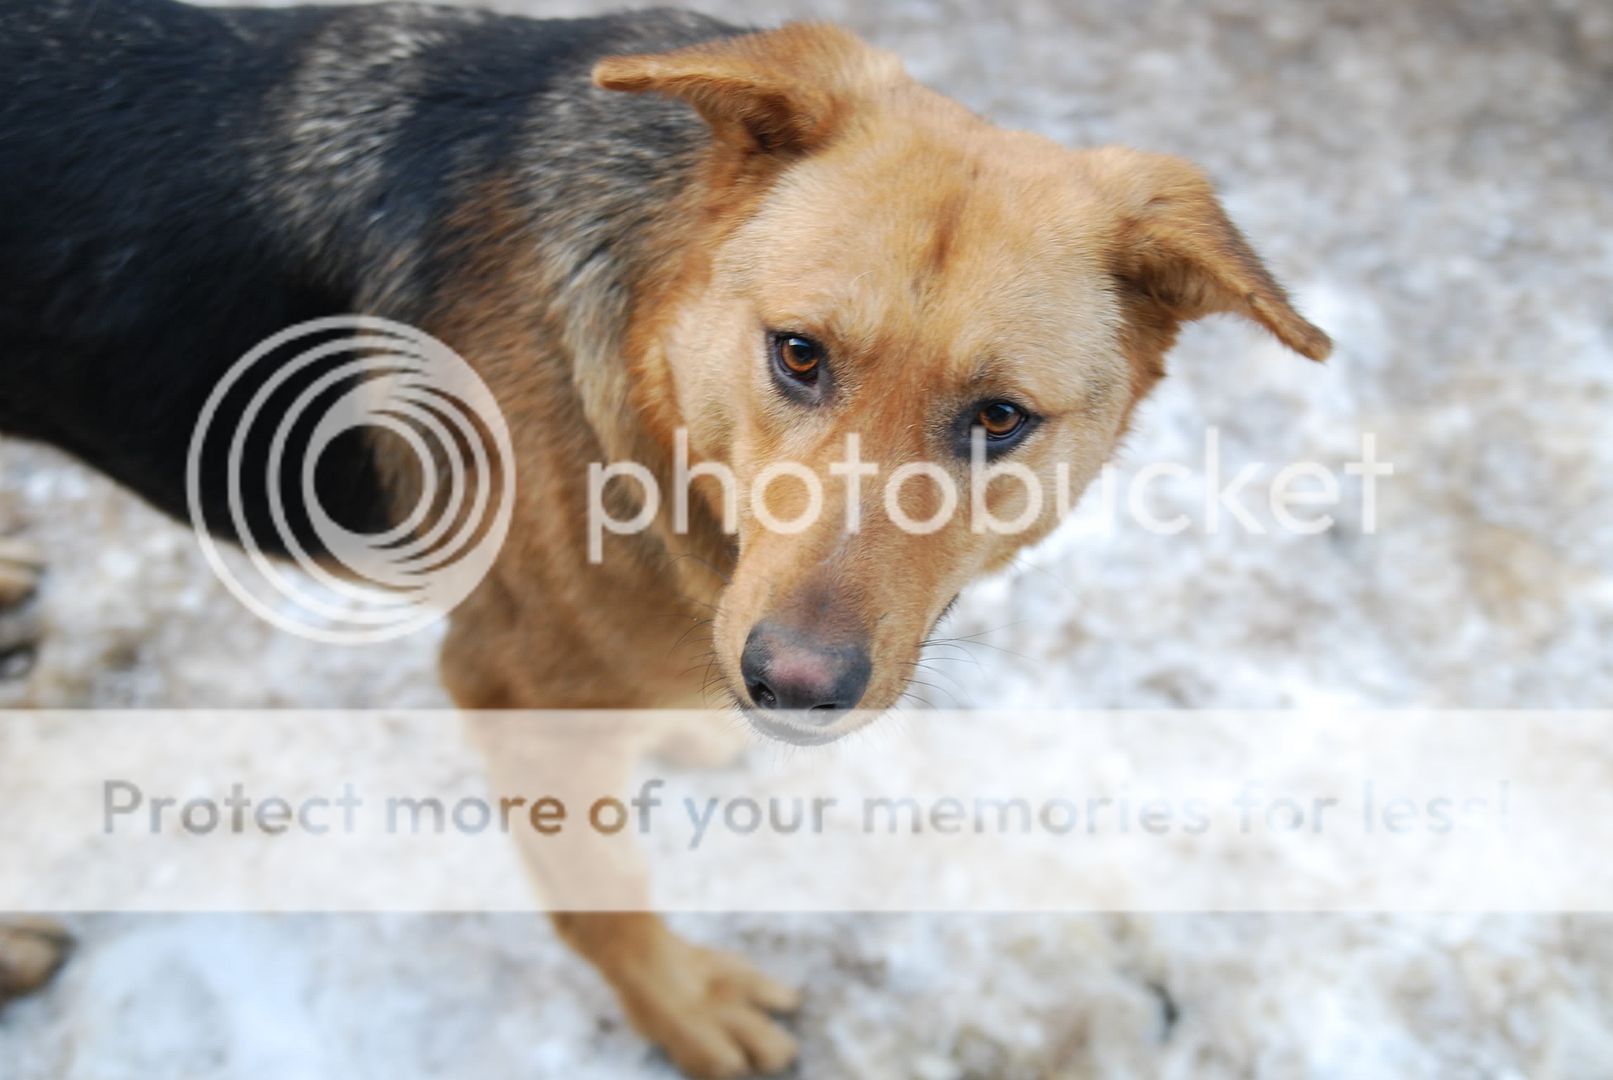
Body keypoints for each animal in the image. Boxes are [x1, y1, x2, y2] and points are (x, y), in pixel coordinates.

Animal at [0, 4, 1329, 1076]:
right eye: (796, 354)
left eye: (998, 418)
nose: (792, 685)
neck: (658, 378)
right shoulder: (513, 688)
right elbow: (604, 900)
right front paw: (681, 1011)